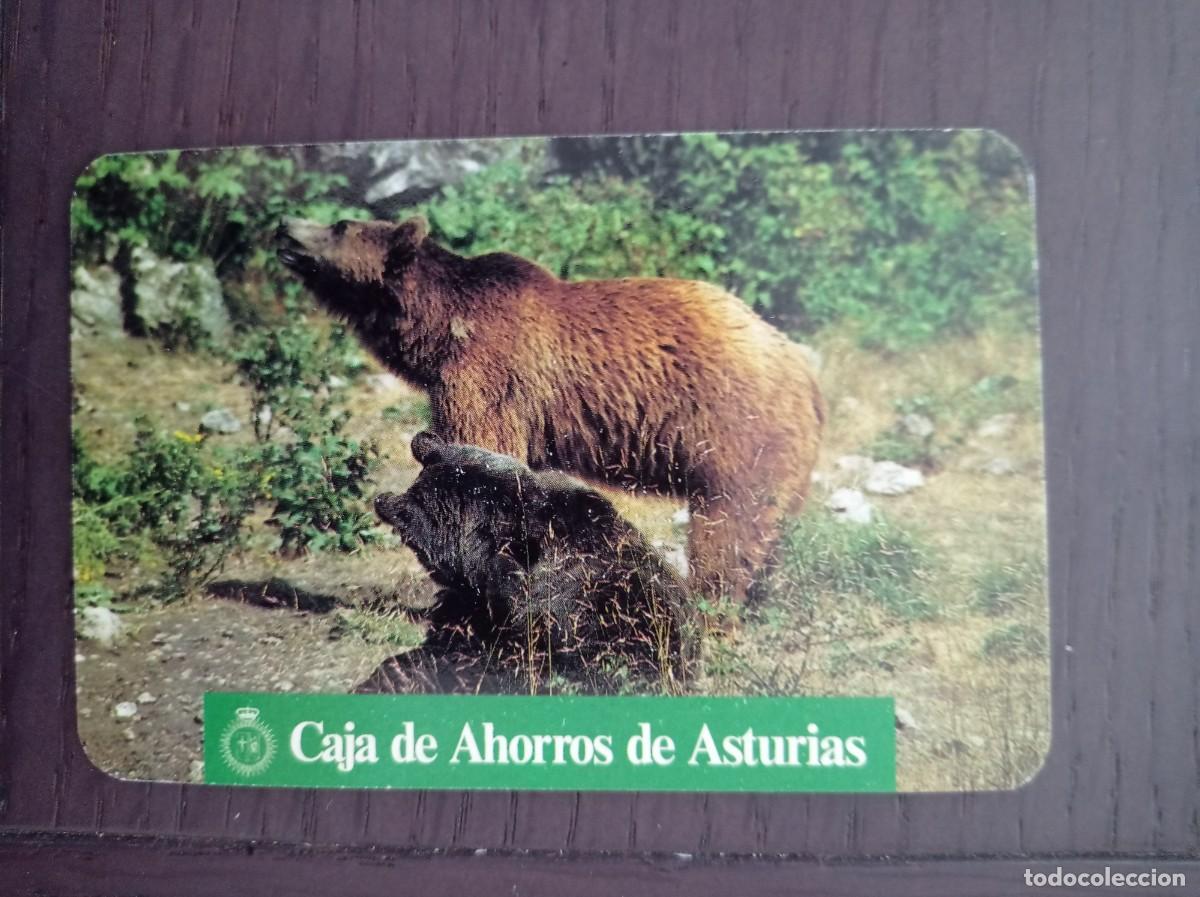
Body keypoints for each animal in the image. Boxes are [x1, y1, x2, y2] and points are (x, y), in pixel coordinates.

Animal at [278, 215, 825, 606]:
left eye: (340, 224)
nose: (286, 226)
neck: (442, 328)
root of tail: (802, 366)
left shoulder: (490, 373)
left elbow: (481, 449)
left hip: (736, 431)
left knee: (730, 527)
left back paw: (710, 605)